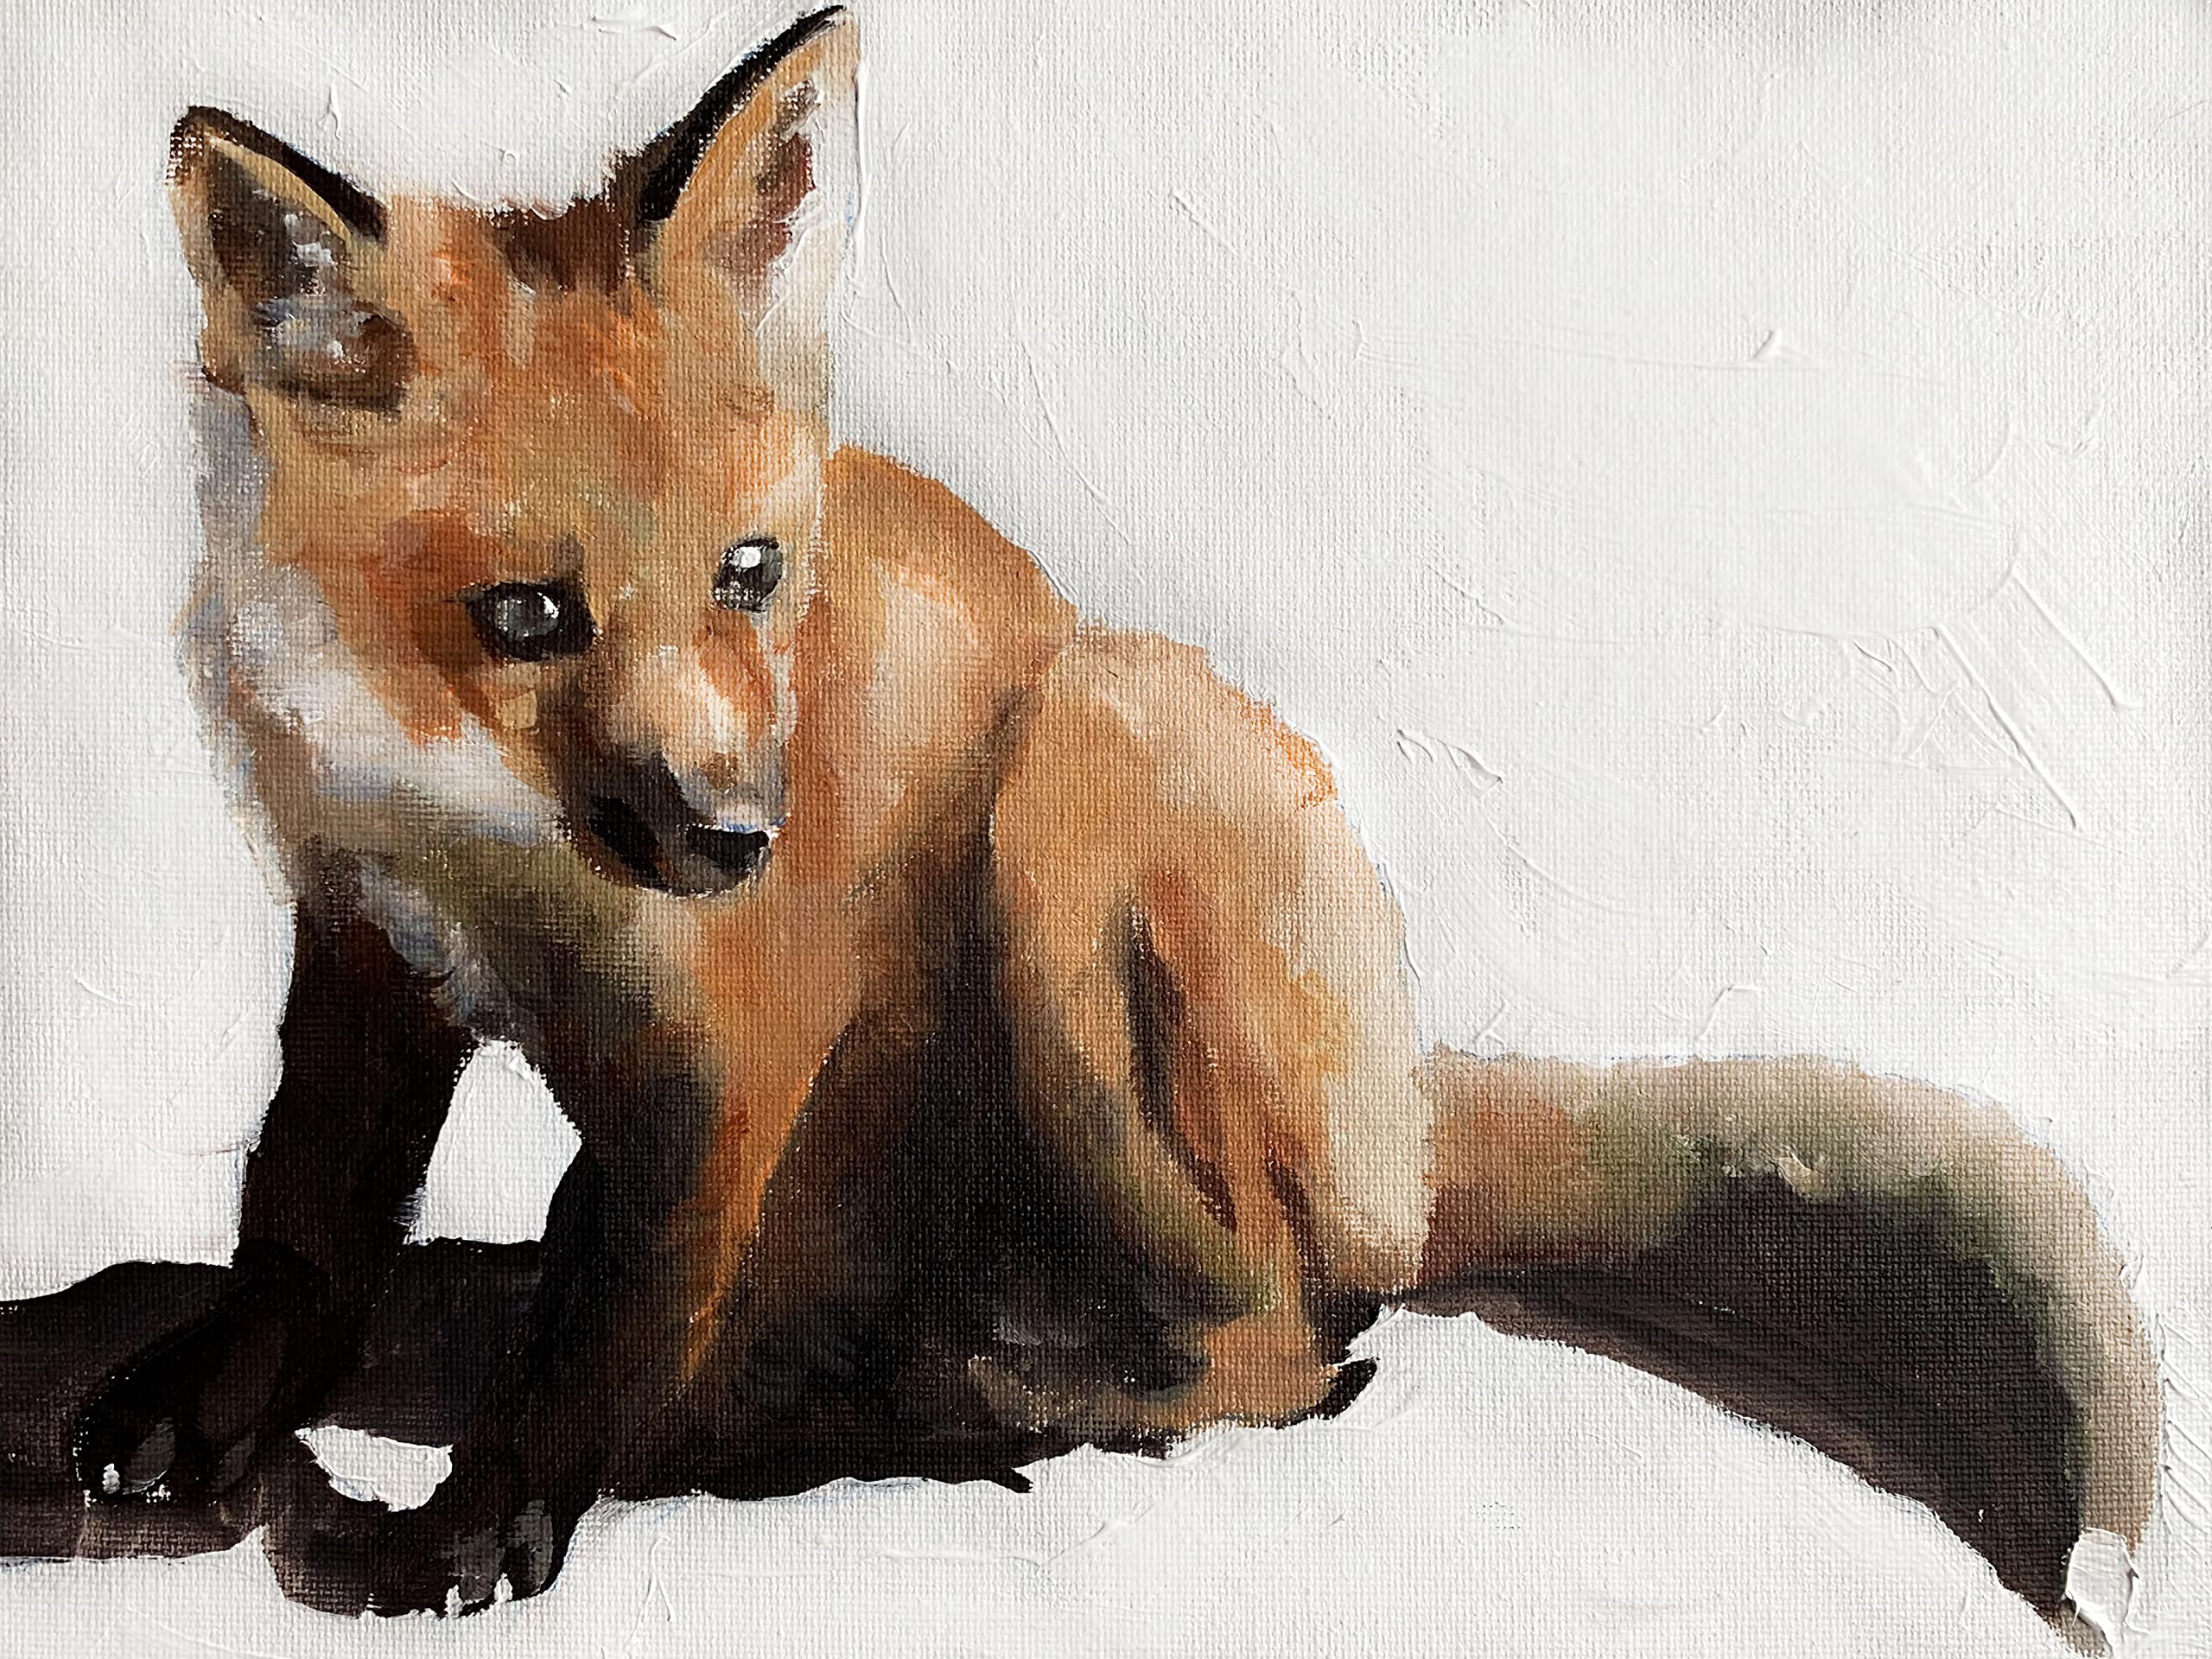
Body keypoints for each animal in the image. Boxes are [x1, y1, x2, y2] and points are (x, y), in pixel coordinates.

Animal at [38, 5, 2159, 1633]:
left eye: (748, 576)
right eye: (528, 616)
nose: (733, 839)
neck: (488, 836)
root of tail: (1406, 1114)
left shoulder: (735, 1051)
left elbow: (604, 1306)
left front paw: (492, 1517)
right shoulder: (362, 951)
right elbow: (305, 1225)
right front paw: (209, 1411)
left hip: (1075, 789)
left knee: (1305, 1343)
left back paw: (954, 1404)